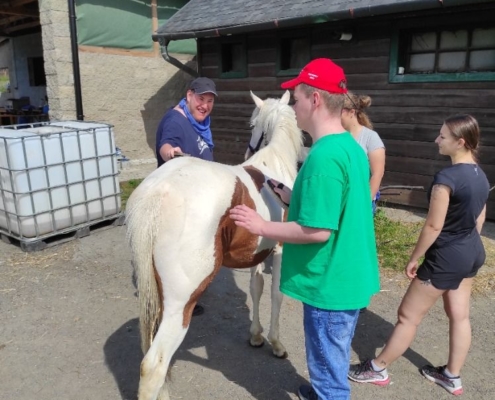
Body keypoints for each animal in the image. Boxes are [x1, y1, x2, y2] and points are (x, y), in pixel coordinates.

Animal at [126, 90, 304, 400]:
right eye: (251, 124)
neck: (274, 166)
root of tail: (157, 194)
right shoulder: (280, 251)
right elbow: (276, 295)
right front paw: (276, 343)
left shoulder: (256, 253)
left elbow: (256, 289)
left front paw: (255, 335)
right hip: (179, 307)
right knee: (153, 366)